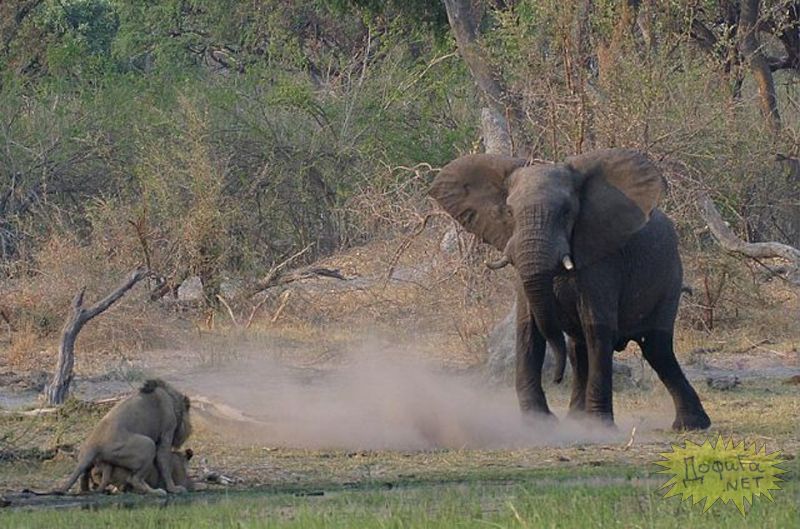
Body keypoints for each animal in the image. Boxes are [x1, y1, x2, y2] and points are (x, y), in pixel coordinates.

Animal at [55, 376, 192, 496]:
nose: (189, 430)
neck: (170, 397)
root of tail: (93, 446)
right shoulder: (167, 432)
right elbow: (164, 463)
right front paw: (174, 489)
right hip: (147, 444)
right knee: (134, 479)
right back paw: (156, 492)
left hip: (90, 462)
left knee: (84, 477)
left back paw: (87, 490)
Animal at [432, 147, 712, 428]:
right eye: (509, 213)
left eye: (567, 212)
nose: (556, 379)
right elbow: (528, 329)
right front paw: (539, 422)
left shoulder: (601, 259)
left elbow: (597, 328)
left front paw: (600, 427)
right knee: (580, 351)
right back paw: (576, 418)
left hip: (670, 278)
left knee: (657, 348)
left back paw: (691, 425)